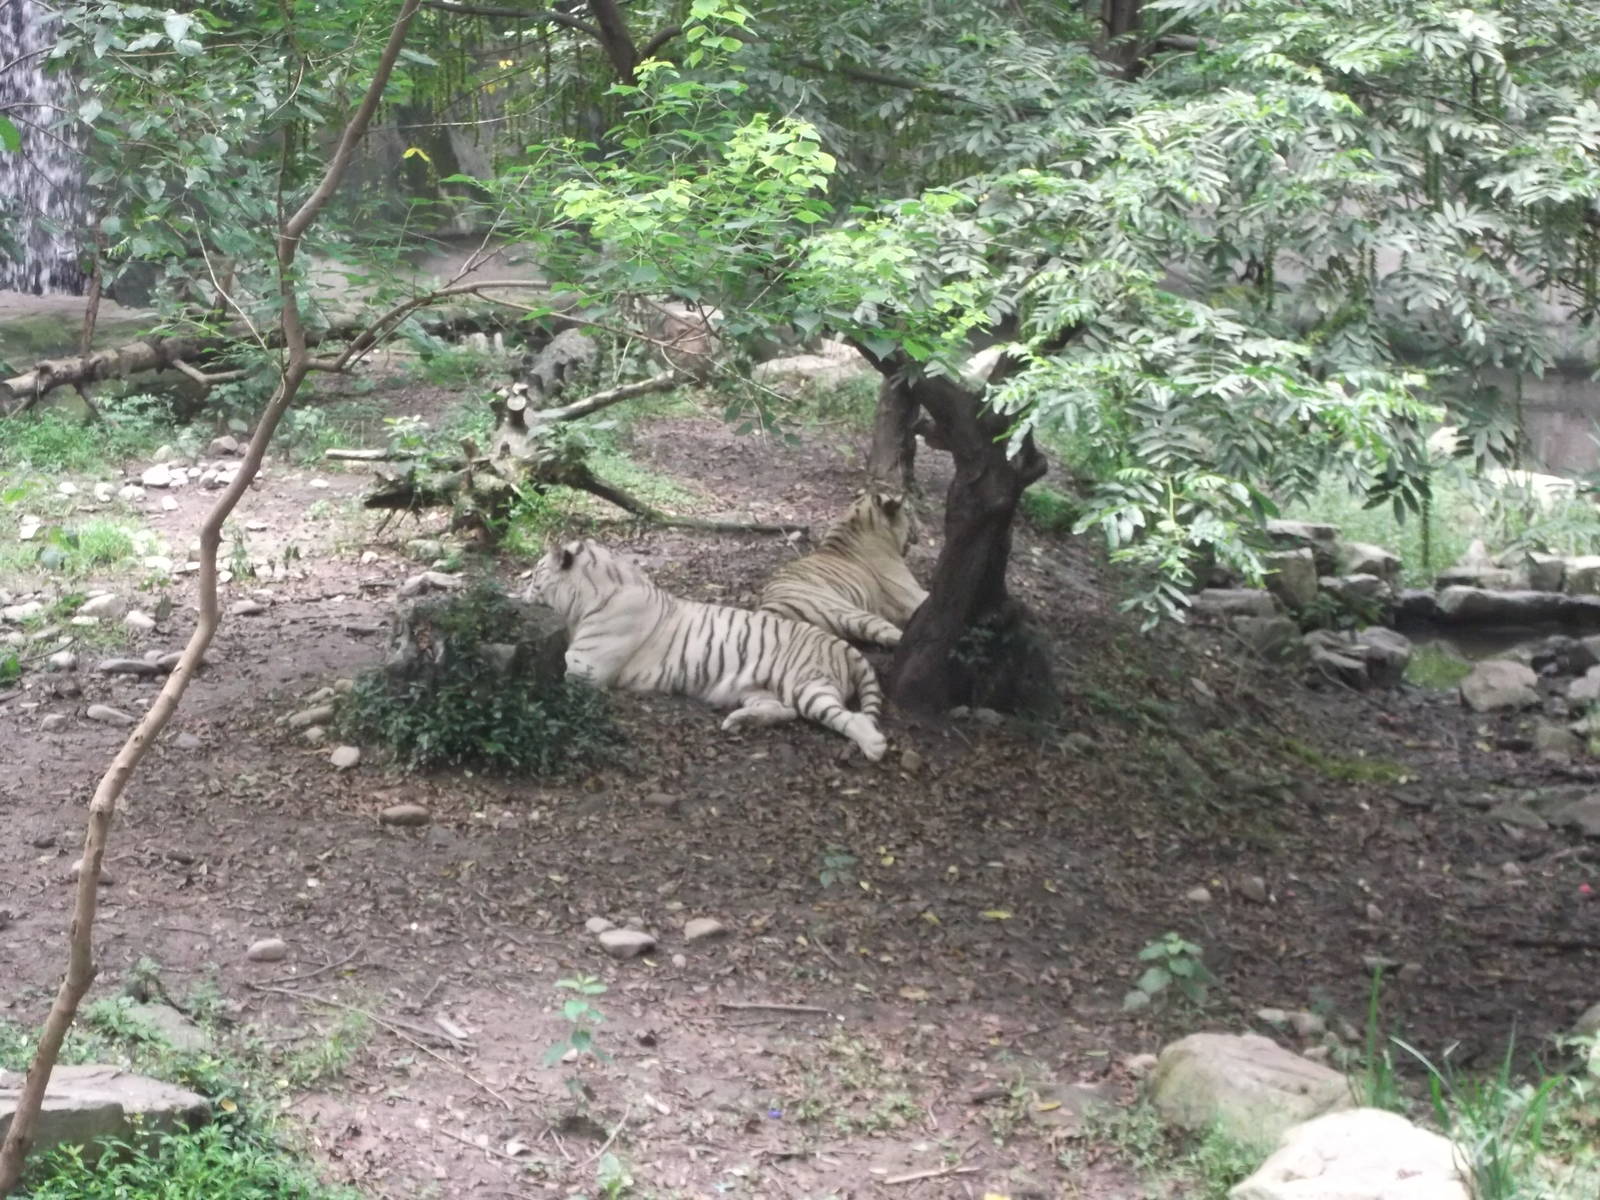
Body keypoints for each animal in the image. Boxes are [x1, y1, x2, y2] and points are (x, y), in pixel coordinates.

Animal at [528, 539, 887, 760]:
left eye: (534, 578)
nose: (522, 590)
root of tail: (840, 643)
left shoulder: (588, 663)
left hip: (808, 685)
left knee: (849, 717)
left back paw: (873, 745)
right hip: (756, 689)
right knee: (785, 711)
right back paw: (739, 721)